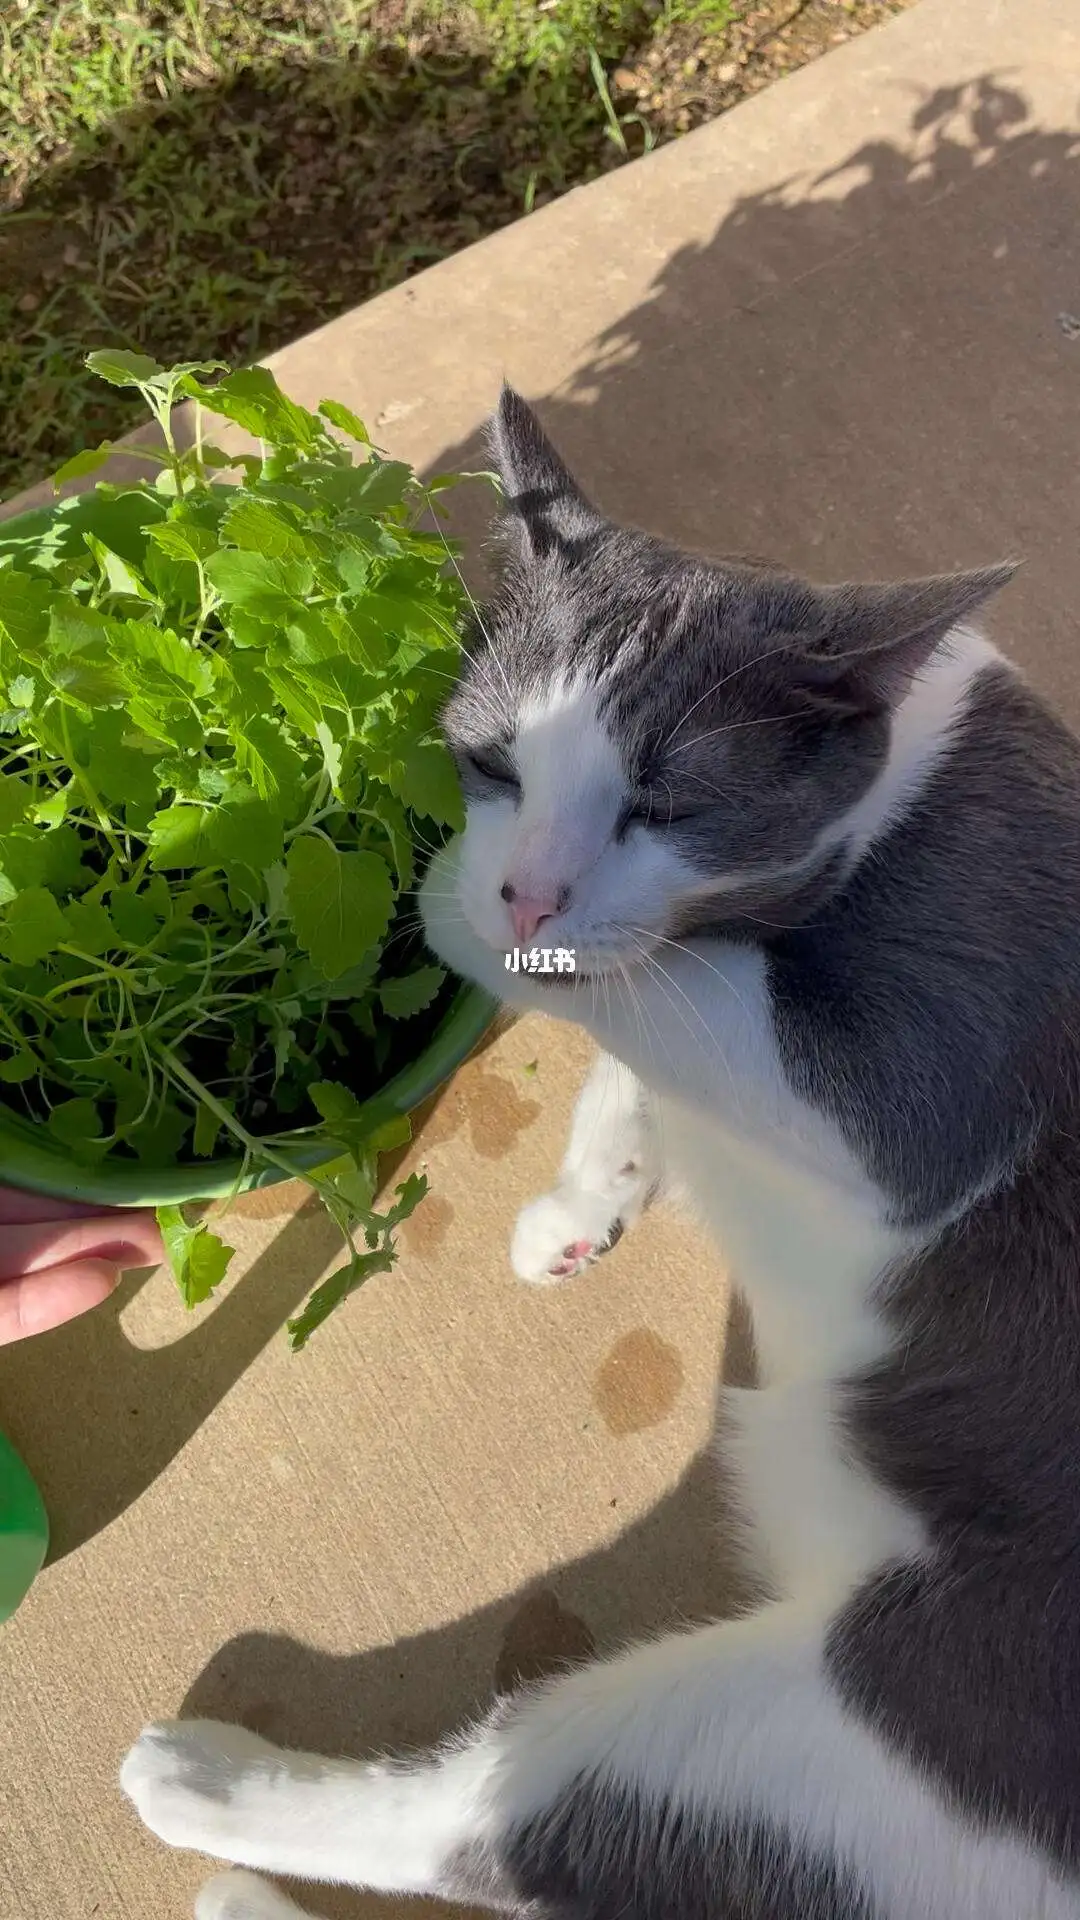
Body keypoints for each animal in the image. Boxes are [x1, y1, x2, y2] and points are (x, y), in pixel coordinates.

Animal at [117, 389, 1076, 1920]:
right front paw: (588, 1195)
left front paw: (451, 909)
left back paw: (203, 1789)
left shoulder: (932, 1064)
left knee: (497, 1820)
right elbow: (642, 1040)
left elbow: (657, 995)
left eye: (663, 805)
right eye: (495, 757)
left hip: (855, 1725)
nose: (523, 887)